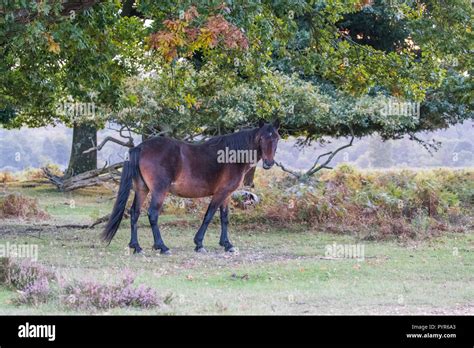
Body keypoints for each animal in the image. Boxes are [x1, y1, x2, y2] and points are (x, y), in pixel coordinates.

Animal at [102, 119, 280, 253]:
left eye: (276, 138)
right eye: (261, 138)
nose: (269, 163)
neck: (231, 156)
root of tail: (140, 147)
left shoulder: (227, 194)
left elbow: (224, 217)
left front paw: (227, 244)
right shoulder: (220, 193)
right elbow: (209, 215)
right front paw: (199, 243)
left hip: (142, 189)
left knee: (134, 213)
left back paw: (137, 247)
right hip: (159, 191)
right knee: (152, 214)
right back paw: (162, 247)